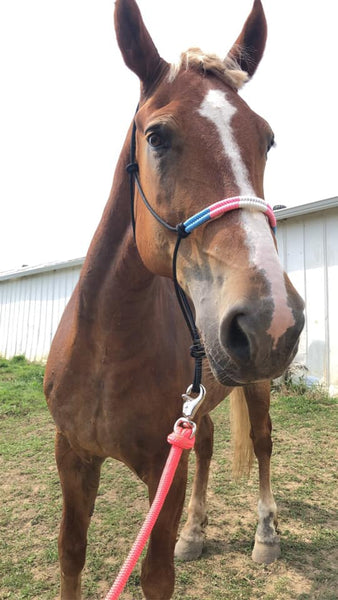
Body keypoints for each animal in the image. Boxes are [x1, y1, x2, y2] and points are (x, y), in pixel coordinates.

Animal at [43, 2, 304, 596]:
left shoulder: (165, 467)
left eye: (267, 139)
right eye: (157, 136)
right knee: (205, 442)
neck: (106, 350)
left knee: (262, 442)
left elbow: (156, 574)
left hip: (256, 387)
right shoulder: (73, 455)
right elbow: (71, 553)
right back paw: (196, 532)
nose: (270, 319)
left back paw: (265, 535)